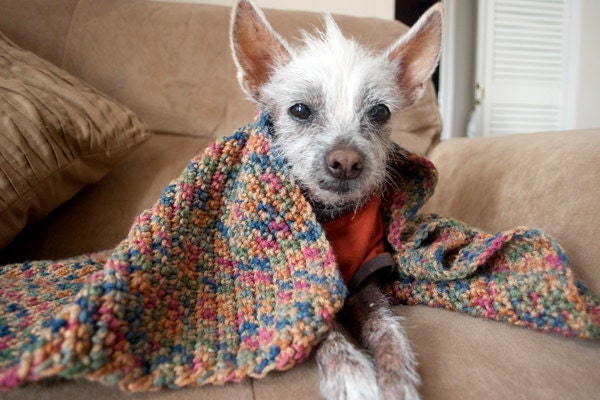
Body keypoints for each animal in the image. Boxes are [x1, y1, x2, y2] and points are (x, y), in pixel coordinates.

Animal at [231, 1, 446, 398]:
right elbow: (321, 330)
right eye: (300, 110)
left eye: (380, 112)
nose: (346, 161)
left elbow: (386, 327)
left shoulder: (367, 280)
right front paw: (351, 374)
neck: (330, 214)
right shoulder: (303, 287)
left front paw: (397, 378)